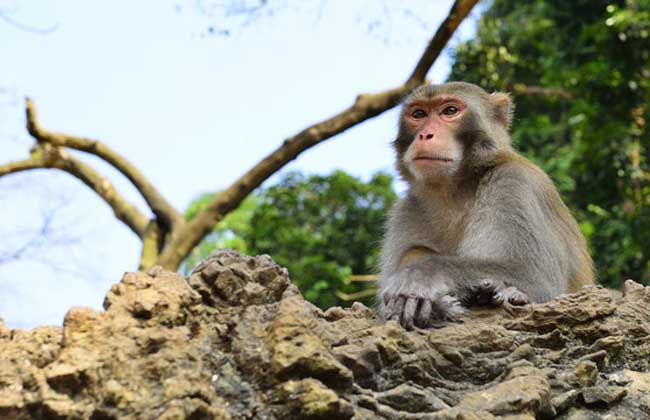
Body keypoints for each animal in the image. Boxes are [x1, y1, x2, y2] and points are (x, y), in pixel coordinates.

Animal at [374, 82, 592, 330]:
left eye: (450, 111)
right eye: (418, 114)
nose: (425, 135)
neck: (454, 192)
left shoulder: (514, 183)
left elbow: (538, 278)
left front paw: (419, 276)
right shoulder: (406, 209)